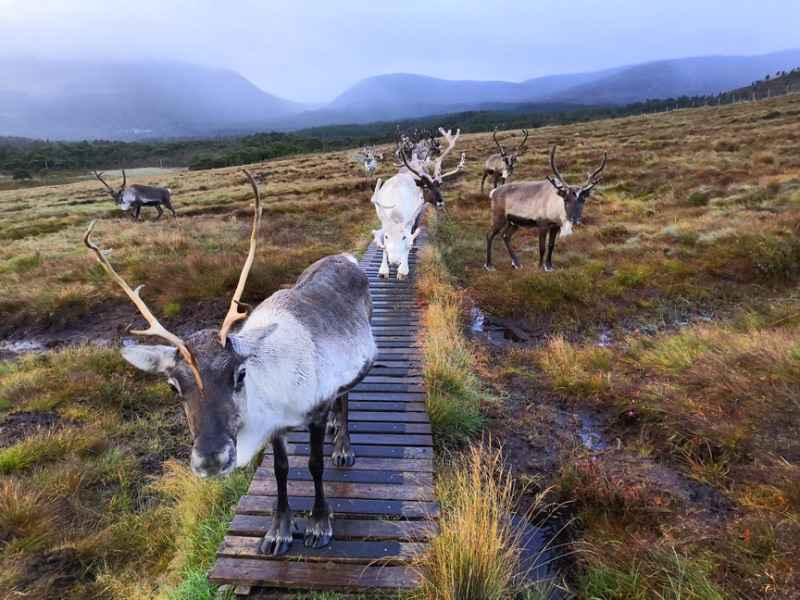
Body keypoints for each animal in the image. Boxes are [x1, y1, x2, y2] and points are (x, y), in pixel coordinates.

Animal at [83, 170, 377, 556]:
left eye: (240, 374)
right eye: (173, 386)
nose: (211, 459)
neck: (274, 390)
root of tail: (345, 257)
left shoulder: (313, 408)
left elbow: (314, 465)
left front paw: (319, 522)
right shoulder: (276, 428)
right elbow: (281, 469)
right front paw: (279, 530)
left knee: (345, 396)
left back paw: (343, 446)